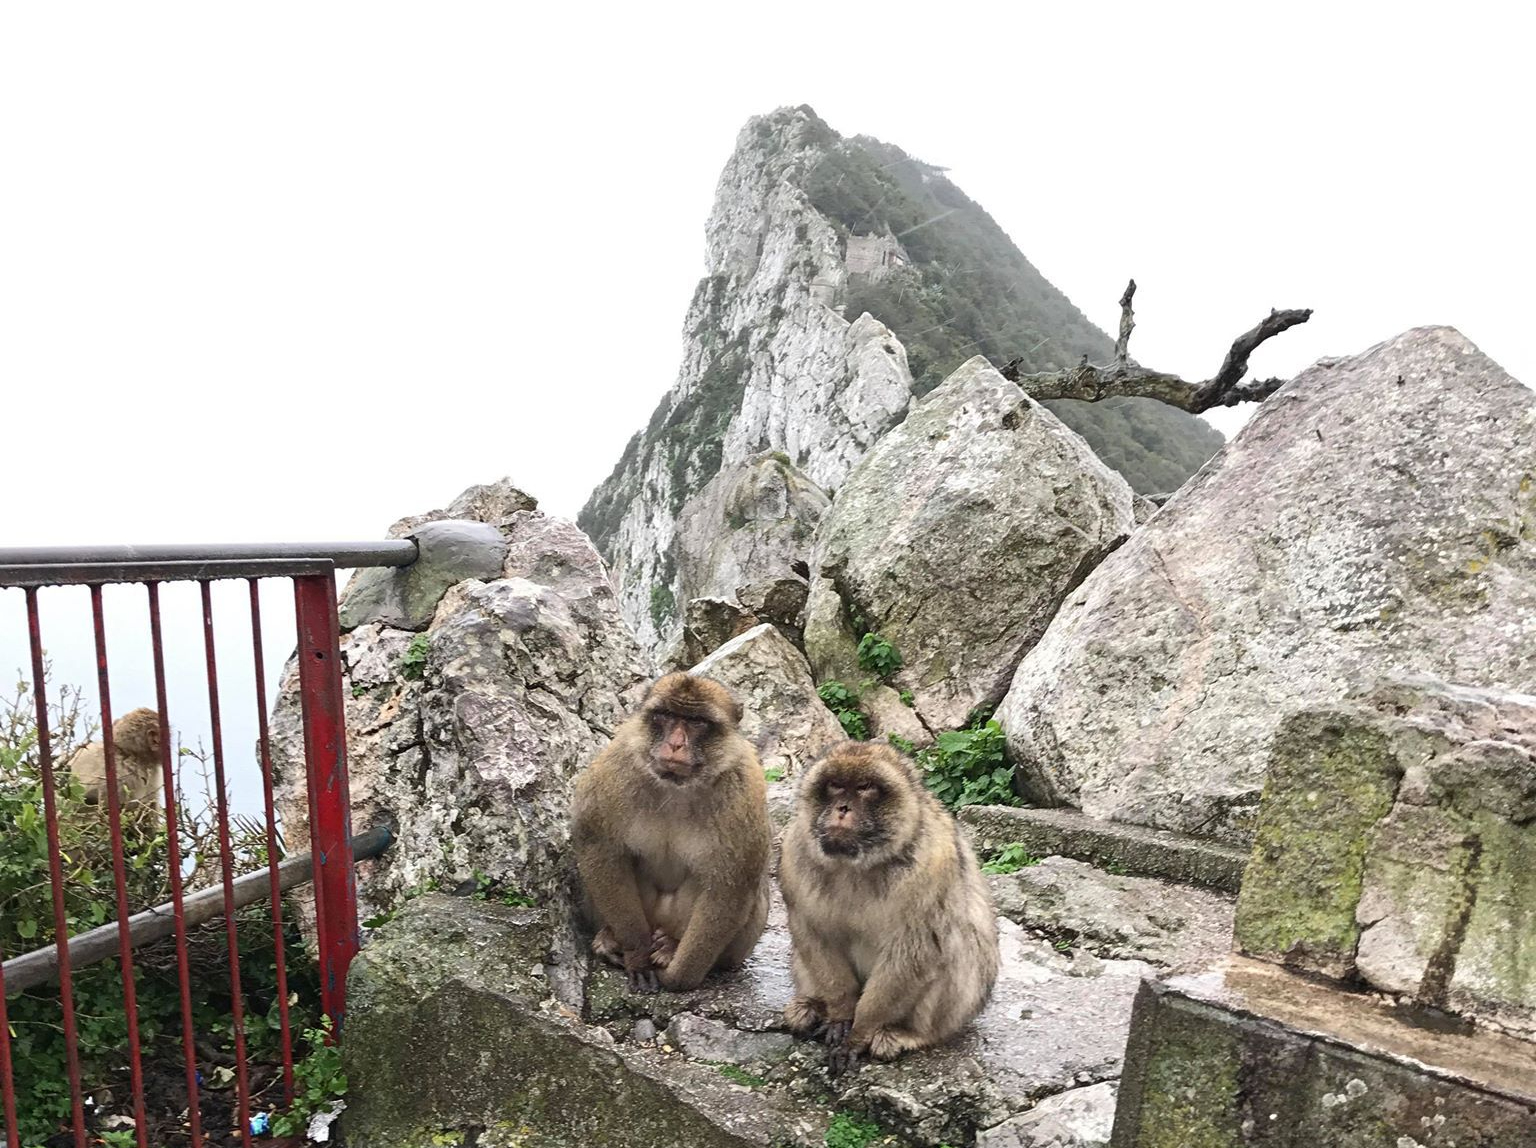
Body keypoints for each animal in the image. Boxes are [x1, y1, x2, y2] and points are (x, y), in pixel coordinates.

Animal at [570, 672, 772, 993]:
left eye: (696, 721)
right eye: (666, 715)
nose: (675, 744)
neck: (677, 786)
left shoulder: (744, 790)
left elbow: (730, 886)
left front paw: (680, 976)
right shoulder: (616, 766)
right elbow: (600, 849)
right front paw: (637, 954)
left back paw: (670, 946)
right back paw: (611, 939)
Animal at [778, 741, 999, 1072]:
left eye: (865, 788)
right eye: (835, 785)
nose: (842, 809)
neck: (857, 866)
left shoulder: (931, 864)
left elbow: (914, 953)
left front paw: (859, 1032)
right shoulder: (794, 852)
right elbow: (814, 934)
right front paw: (841, 1012)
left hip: (960, 1009)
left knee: (955, 949)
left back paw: (909, 1034)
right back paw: (812, 1006)